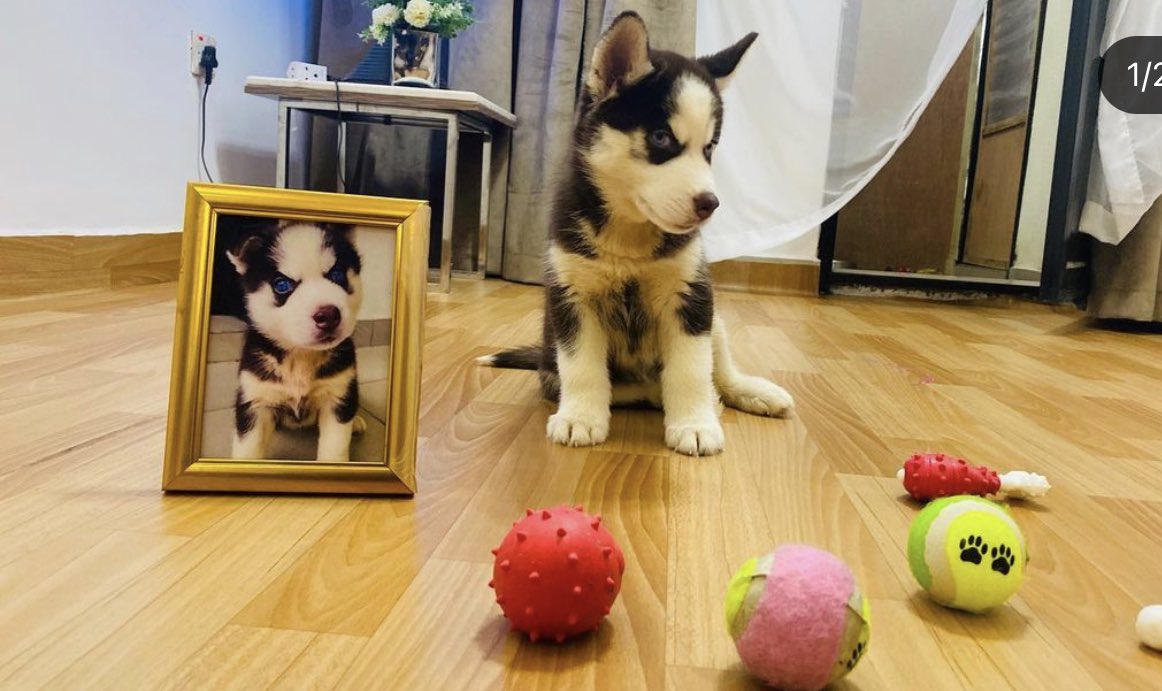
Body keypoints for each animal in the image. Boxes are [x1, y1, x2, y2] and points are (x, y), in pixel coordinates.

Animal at [225, 222, 362, 459]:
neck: (300, 355)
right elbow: (247, 450)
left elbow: (335, 448)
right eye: (282, 285)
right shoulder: (255, 400)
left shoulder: (338, 394)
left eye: (336, 274)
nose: (328, 315)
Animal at [478, 12, 790, 455]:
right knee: (602, 384)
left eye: (709, 149)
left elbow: (691, 369)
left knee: (720, 369)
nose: (710, 204)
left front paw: (695, 423)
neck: (628, 239)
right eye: (661, 138)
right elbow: (583, 367)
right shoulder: (572, 297)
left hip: (715, 317)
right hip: (551, 356)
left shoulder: (691, 296)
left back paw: (747, 392)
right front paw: (580, 417)